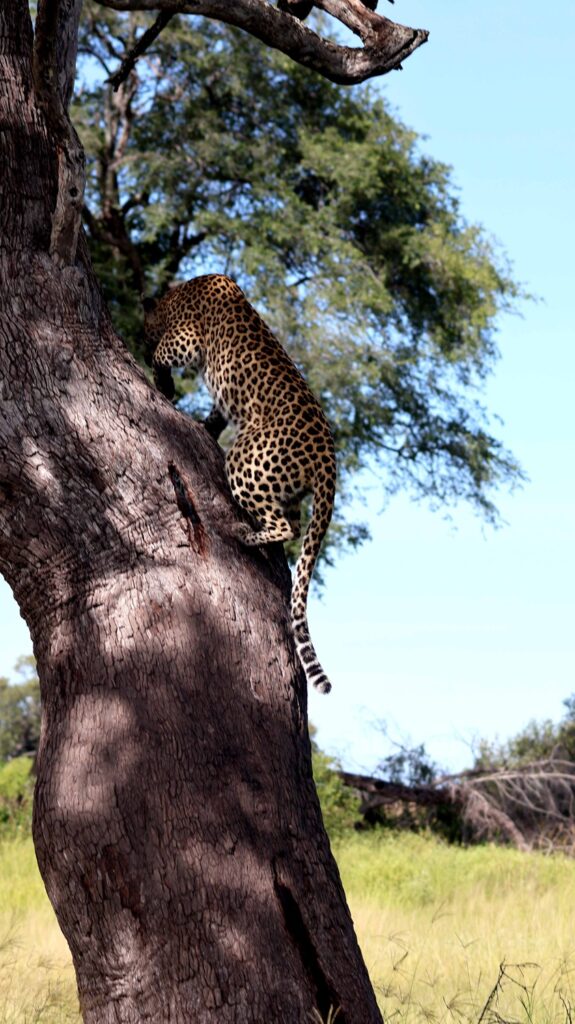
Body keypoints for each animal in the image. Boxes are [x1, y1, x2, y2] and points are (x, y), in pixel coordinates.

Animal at [144, 273, 336, 694]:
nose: (142, 335)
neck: (176, 294)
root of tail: (328, 462)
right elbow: (216, 414)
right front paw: (204, 424)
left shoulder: (186, 338)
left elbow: (164, 353)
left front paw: (161, 378)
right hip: (285, 484)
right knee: (292, 523)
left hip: (246, 459)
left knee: (281, 525)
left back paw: (243, 533)